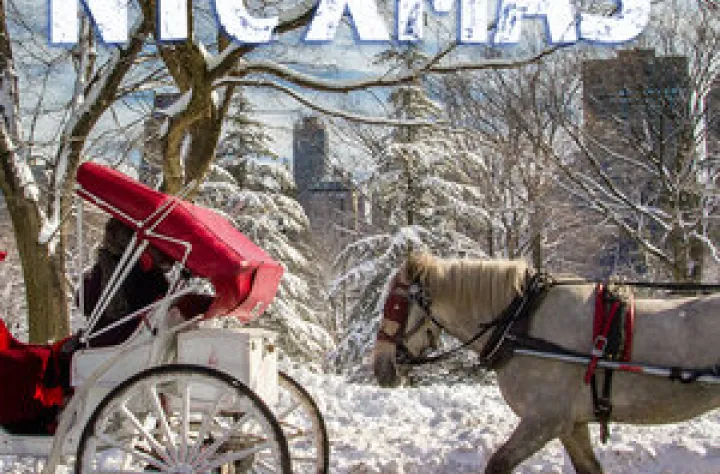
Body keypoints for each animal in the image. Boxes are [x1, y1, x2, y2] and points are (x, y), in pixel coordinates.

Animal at [374, 254, 720, 474]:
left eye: (394, 306)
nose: (380, 368)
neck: (520, 324)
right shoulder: (571, 424)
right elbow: (590, 469)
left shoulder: (543, 421)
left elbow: (498, 464)